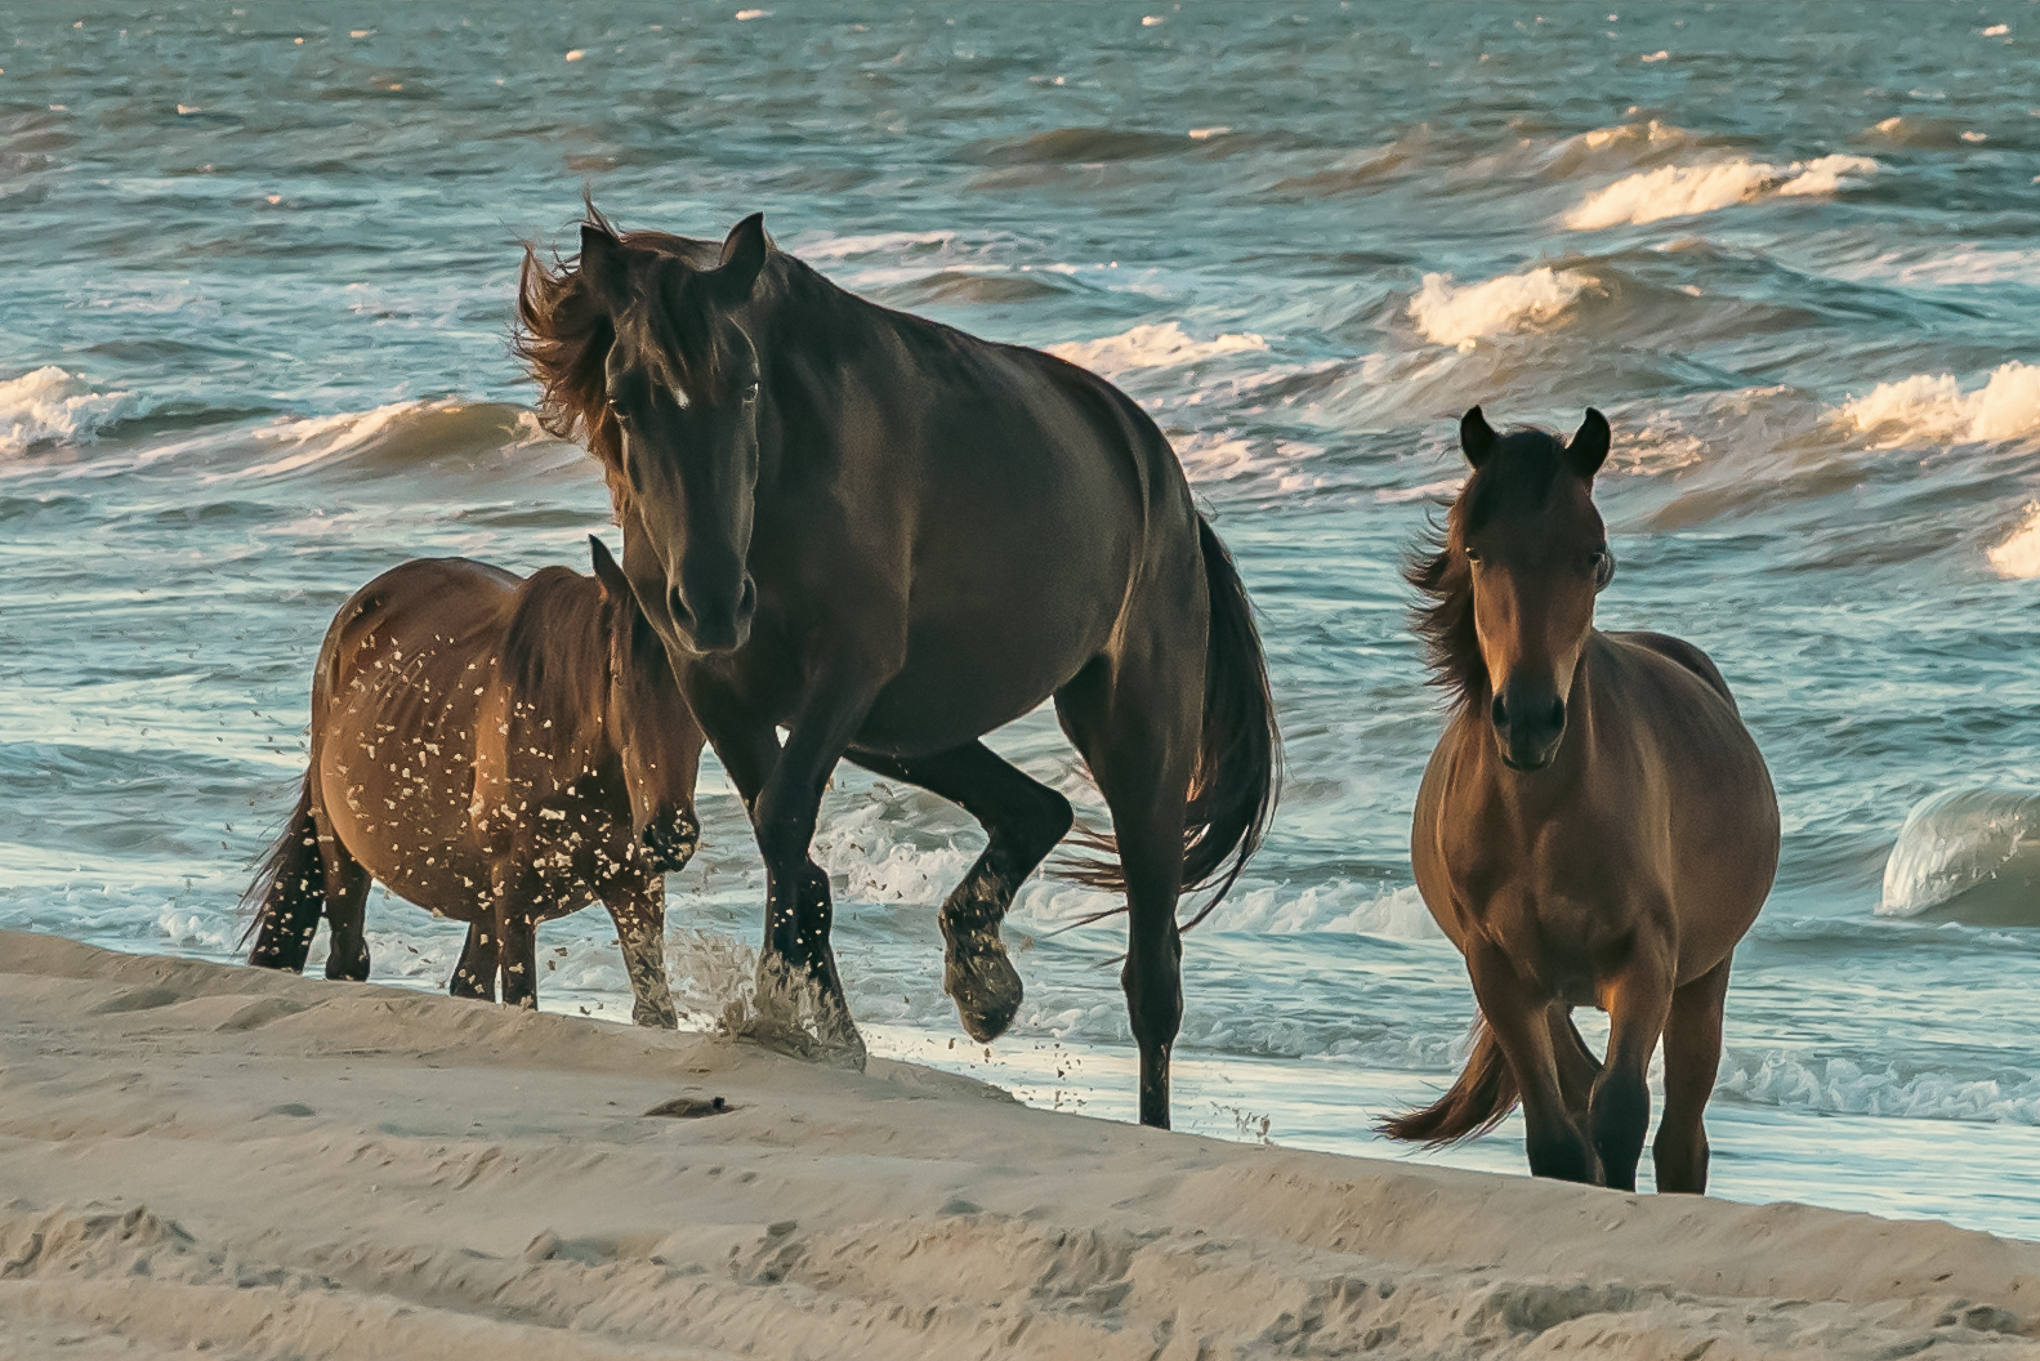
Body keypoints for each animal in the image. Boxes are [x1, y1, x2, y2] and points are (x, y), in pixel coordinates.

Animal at [244, 538, 706, 1028]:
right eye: (618, 677)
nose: (669, 835)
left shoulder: (635, 884)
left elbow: (654, 1009)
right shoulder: (515, 890)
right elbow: (522, 997)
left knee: (470, 982)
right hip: (343, 854)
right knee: (348, 957)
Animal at [517, 210, 1280, 1127]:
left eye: (747, 385)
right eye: (625, 398)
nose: (712, 602)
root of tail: (1165, 480)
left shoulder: (846, 670)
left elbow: (782, 819)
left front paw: (777, 1014)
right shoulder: (724, 693)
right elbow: (790, 845)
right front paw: (830, 1033)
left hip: (1135, 733)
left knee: (1153, 977)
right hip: (900, 729)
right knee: (1038, 808)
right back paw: (983, 978)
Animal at [1382, 407, 1779, 1193]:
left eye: (1590, 554)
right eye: (1476, 551)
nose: (1530, 720)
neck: (1540, 822)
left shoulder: (1646, 962)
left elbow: (1621, 1112)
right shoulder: (1502, 976)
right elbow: (1560, 1143)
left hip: (1702, 981)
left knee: (1678, 1136)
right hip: (1556, 1000)